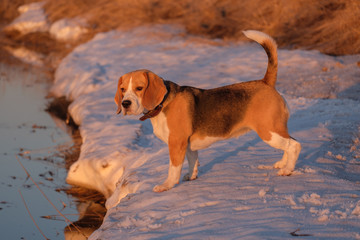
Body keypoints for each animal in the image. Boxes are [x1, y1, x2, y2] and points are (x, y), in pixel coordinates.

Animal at [115, 30, 300, 192]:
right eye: (123, 89)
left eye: (139, 88)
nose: (125, 103)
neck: (163, 103)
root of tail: (265, 82)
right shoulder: (188, 144)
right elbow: (192, 161)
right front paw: (191, 176)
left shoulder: (176, 143)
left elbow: (173, 168)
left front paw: (166, 185)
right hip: (276, 130)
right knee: (289, 143)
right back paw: (282, 163)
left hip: (268, 131)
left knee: (294, 145)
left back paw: (287, 170)